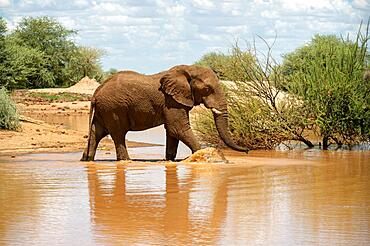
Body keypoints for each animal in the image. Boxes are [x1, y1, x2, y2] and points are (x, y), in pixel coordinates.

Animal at [81, 65, 249, 161]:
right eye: (207, 89)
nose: (247, 150)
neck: (188, 69)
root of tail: (96, 91)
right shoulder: (171, 101)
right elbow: (178, 128)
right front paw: (205, 156)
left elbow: (172, 131)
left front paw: (169, 161)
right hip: (114, 109)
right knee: (118, 134)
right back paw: (127, 161)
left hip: (105, 109)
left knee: (96, 133)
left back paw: (86, 160)